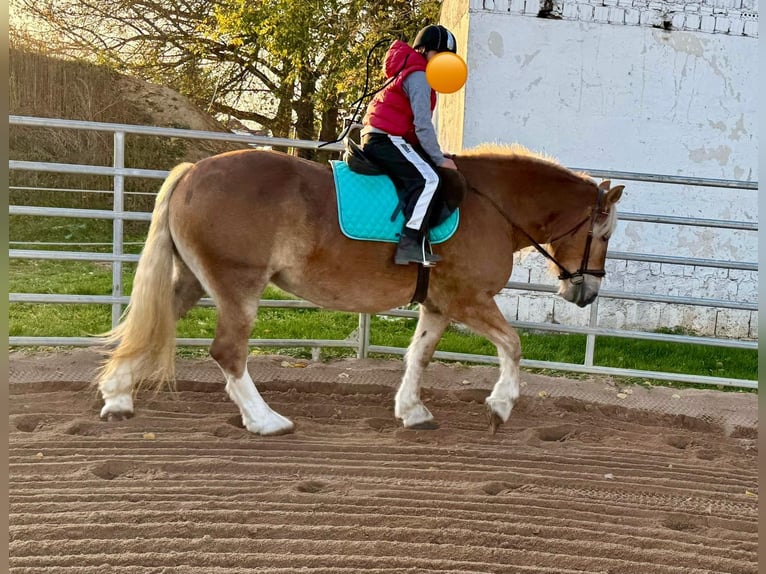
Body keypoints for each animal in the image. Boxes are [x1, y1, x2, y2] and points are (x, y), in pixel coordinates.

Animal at [96, 144, 624, 436]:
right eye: (604, 234)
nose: (587, 293)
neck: (490, 204)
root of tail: (192, 173)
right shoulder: (468, 299)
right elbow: (513, 346)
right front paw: (500, 405)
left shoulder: (439, 304)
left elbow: (419, 356)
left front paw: (412, 411)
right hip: (238, 284)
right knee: (228, 351)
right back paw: (265, 420)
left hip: (192, 281)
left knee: (154, 326)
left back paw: (118, 397)